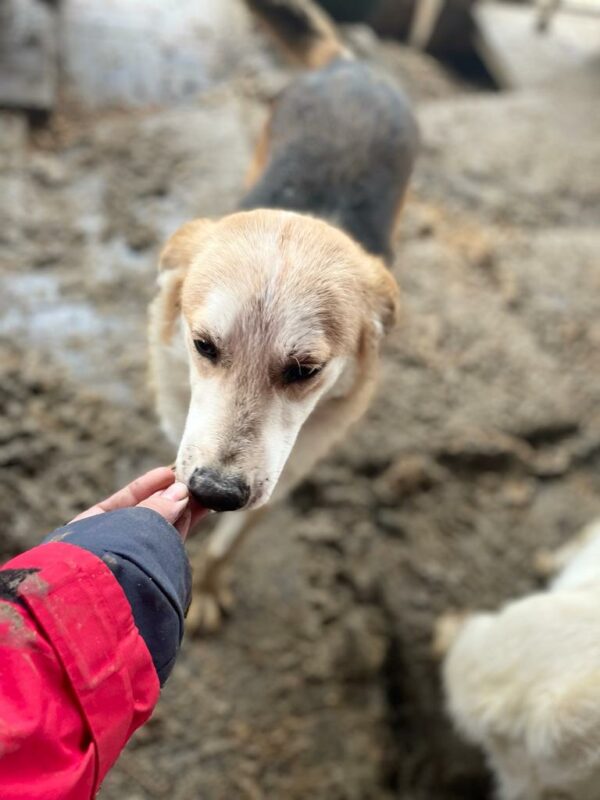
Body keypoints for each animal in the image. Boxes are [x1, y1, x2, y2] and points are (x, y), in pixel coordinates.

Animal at [148, 0, 420, 632]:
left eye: (305, 371)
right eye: (203, 345)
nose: (216, 491)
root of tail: (352, 67)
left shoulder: (285, 474)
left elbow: (230, 543)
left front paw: (211, 585)